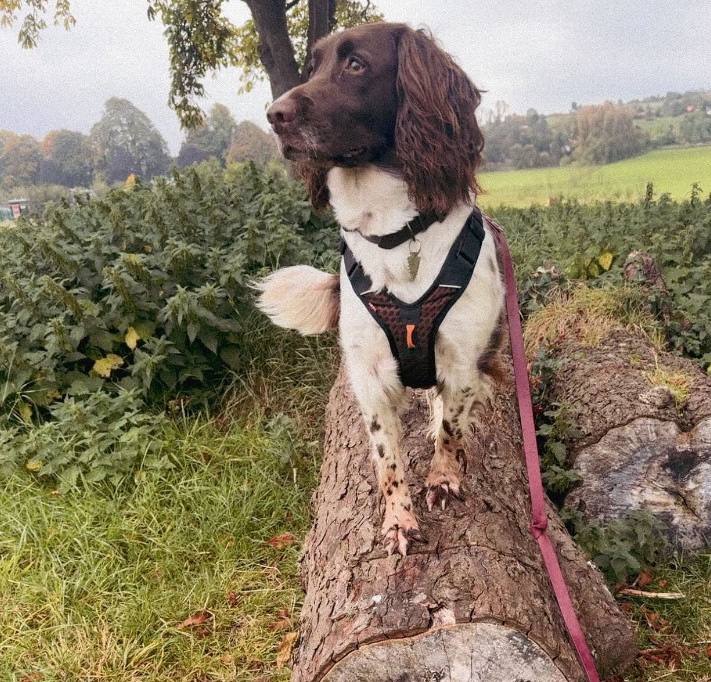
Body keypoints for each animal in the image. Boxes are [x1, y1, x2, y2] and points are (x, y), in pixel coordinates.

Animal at [258, 21, 506, 556]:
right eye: (312, 66)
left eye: (356, 65)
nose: (273, 115)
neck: (395, 233)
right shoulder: (369, 374)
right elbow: (386, 456)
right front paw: (398, 520)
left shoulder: (461, 358)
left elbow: (452, 428)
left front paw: (443, 479)